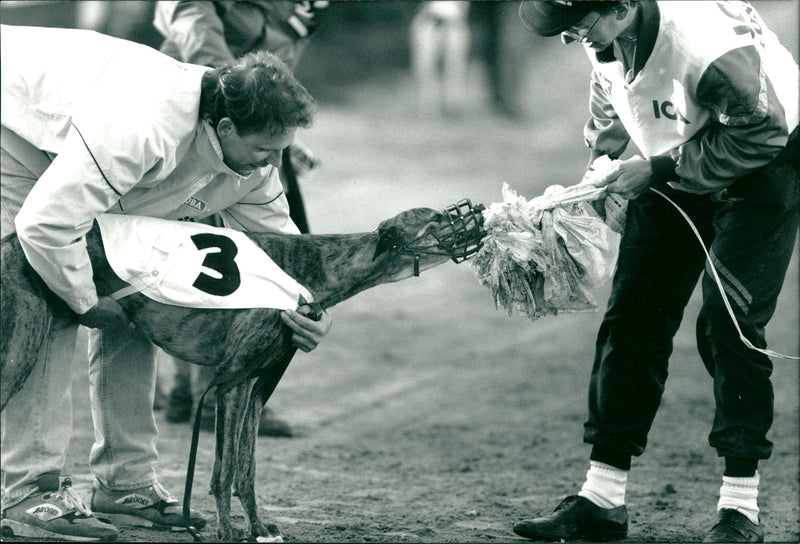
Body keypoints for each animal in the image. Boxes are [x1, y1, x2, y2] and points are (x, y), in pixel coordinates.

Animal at [0, 201, 484, 544]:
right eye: (437, 218)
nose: (481, 217)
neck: (311, 268)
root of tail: (10, 239)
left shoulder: (254, 386)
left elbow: (246, 471)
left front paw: (259, 527)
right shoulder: (229, 384)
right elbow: (224, 470)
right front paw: (227, 530)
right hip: (21, 349)